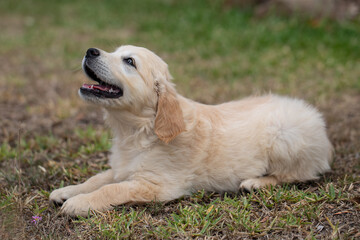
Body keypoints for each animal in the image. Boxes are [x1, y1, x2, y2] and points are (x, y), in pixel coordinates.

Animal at [49, 45, 334, 216]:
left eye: (129, 61)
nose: (91, 51)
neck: (138, 131)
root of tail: (317, 119)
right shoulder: (122, 168)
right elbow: (98, 179)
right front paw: (67, 191)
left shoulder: (156, 185)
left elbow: (113, 189)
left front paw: (80, 203)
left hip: (286, 138)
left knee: (299, 175)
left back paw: (255, 182)